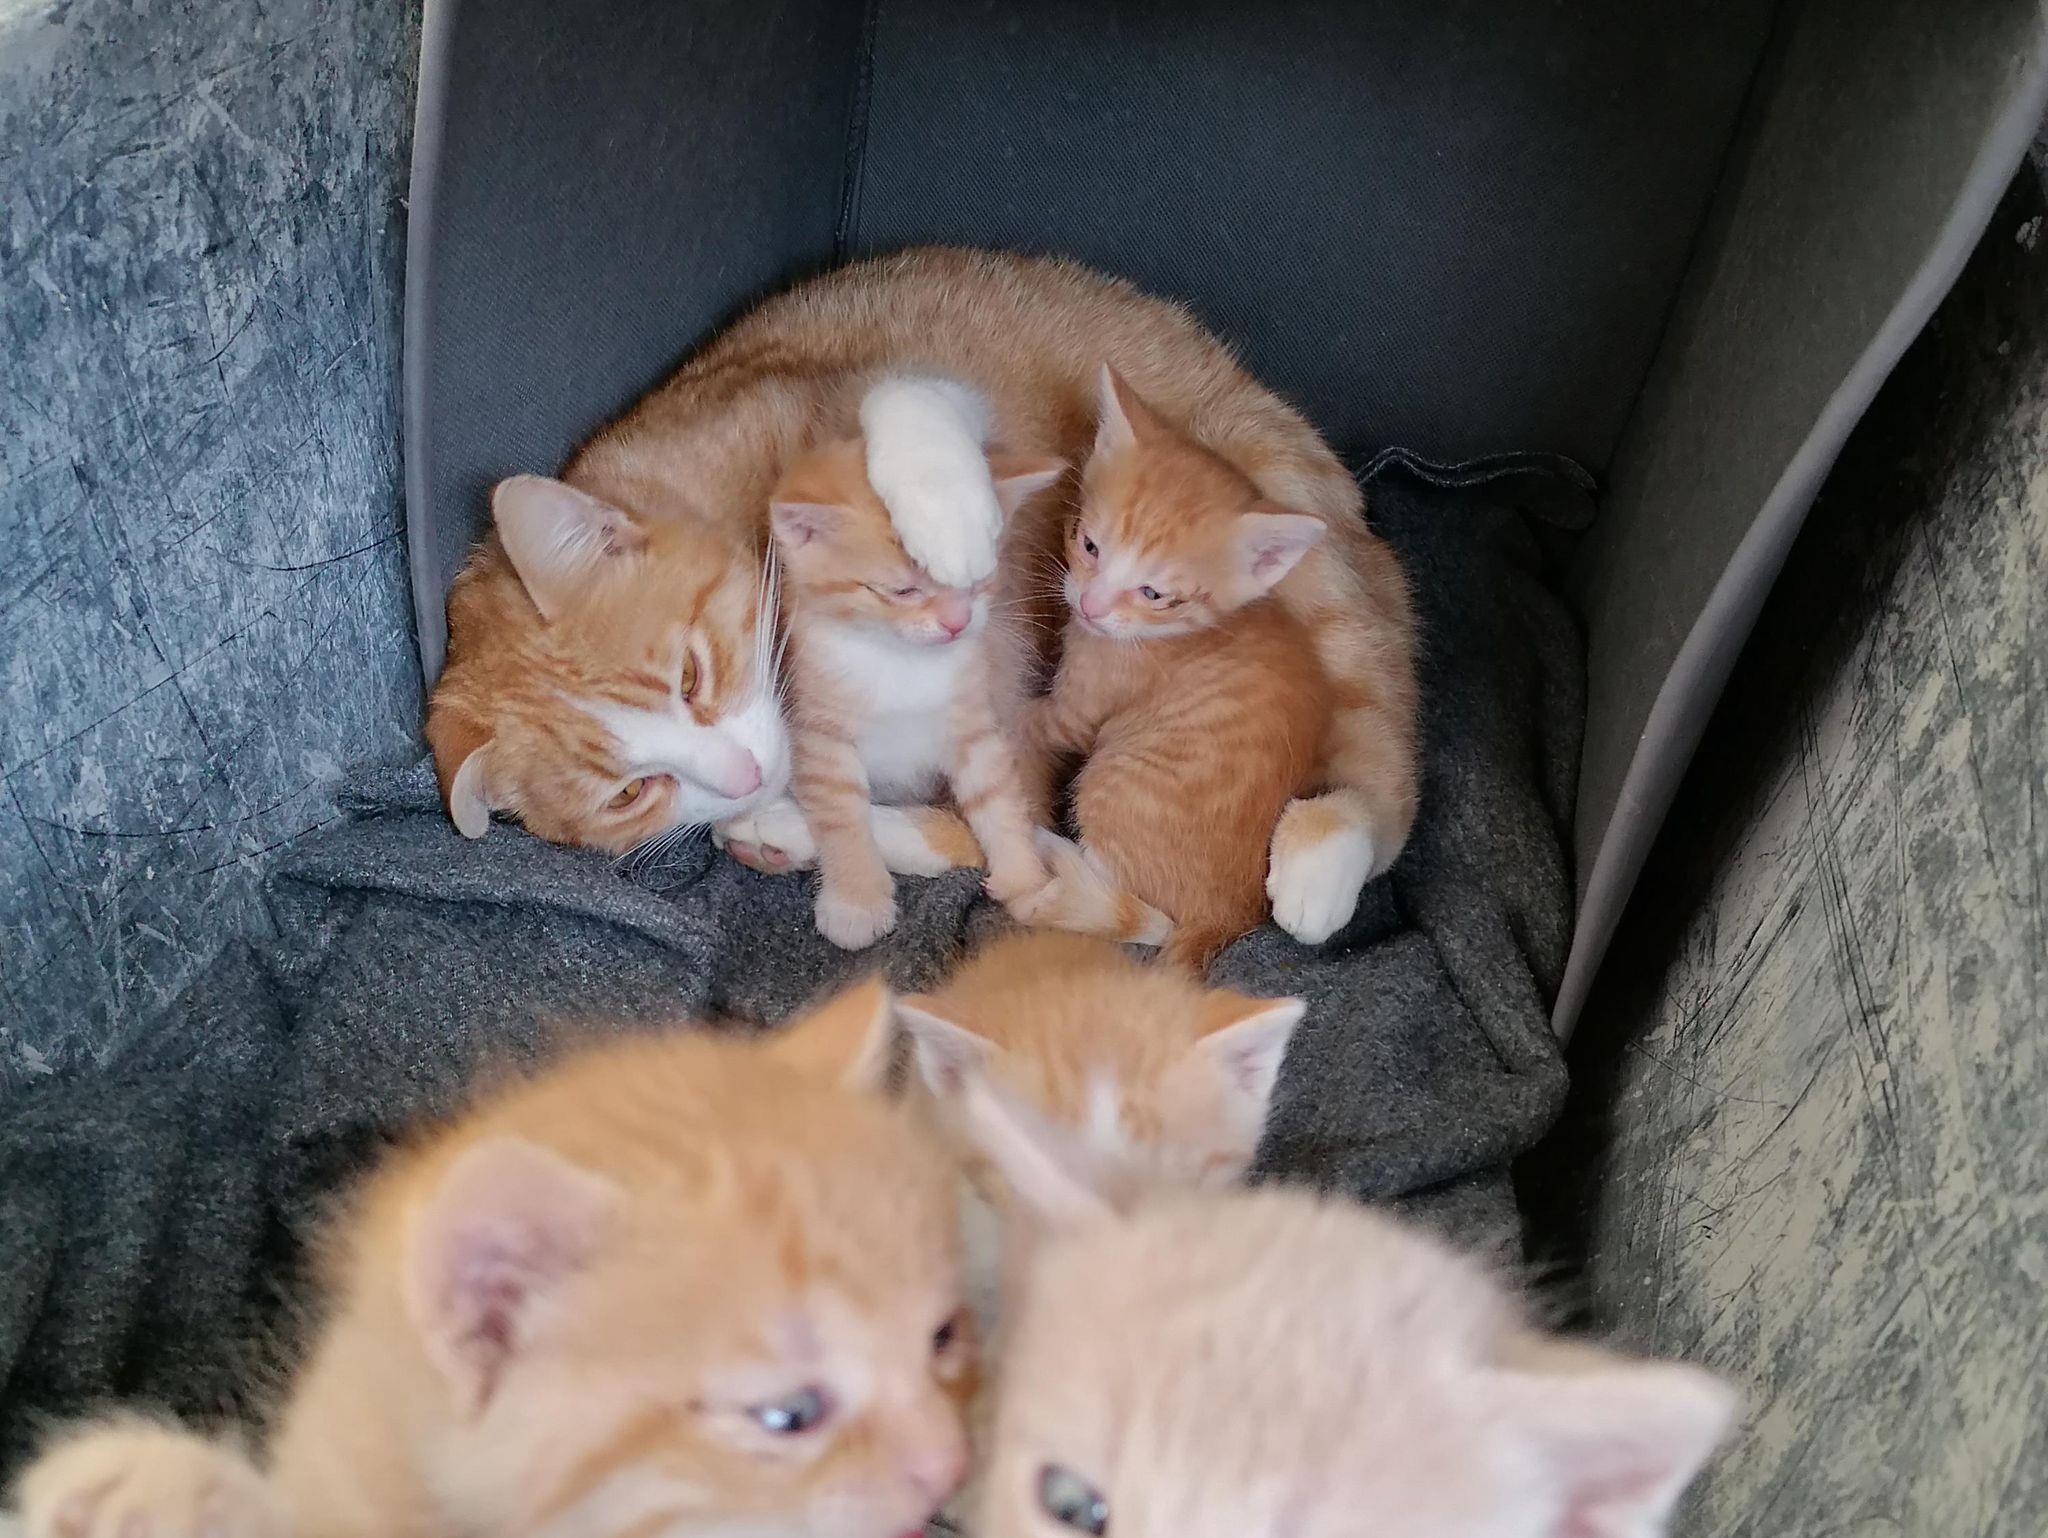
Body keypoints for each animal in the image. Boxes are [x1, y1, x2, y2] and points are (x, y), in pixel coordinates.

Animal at [760, 431, 1064, 949]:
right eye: (903, 591)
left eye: (978, 579)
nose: (957, 623)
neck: (900, 661)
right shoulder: (818, 730)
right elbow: (840, 811)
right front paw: (856, 899)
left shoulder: (974, 722)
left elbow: (998, 797)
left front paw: (1025, 881)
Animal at [1013, 366, 1336, 968]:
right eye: (1088, 544)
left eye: (1154, 594)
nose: (1090, 606)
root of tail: (1231, 915)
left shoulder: (1080, 711)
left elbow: (1031, 719)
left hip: (1111, 782)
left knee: (1146, 910)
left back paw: (1053, 854)